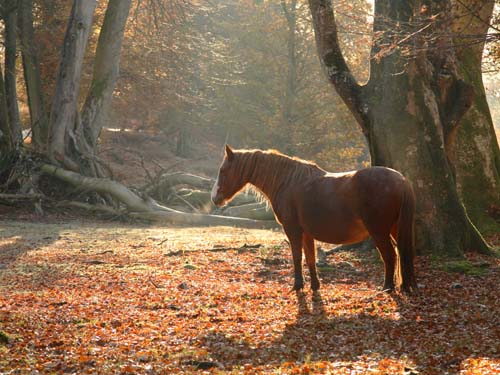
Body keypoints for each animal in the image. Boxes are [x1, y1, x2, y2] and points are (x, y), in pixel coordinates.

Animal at [211, 145, 418, 296]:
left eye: (223, 170)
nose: (215, 199)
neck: (288, 182)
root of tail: (401, 180)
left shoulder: (293, 230)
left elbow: (297, 257)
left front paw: (297, 286)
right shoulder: (306, 233)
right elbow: (310, 258)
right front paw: (314, 286)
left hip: (379, 232)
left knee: (390, 256)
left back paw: (387, 288)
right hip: (394, 229)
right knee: (401, 253)